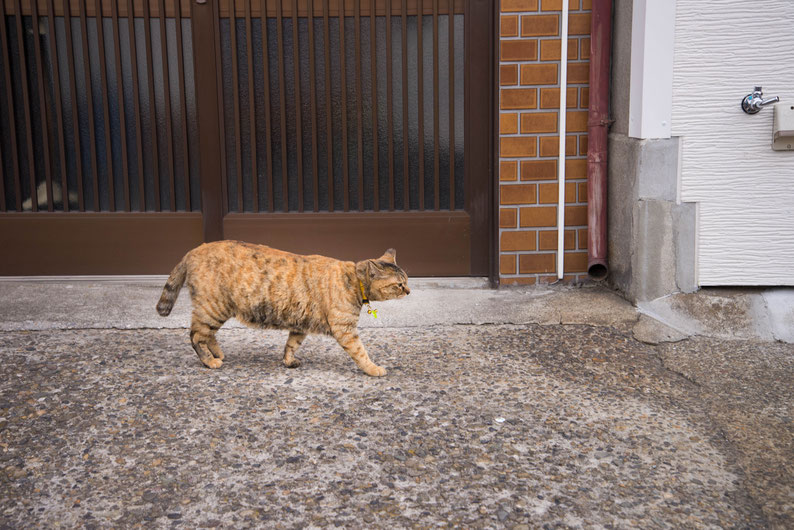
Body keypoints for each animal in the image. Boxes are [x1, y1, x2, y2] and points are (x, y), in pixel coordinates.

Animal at [159, 239, 412, 376]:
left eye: (407, 280)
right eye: (399, 285)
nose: (409, 291)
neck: (353, 280)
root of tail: (193, 250)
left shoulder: (301, 325)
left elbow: (291, 345)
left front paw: (289, 361)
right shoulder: (345, 330)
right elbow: (361, 353)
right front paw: (374, 369)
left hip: (216, 310)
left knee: (207, 334)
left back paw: (217, 353)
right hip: (213, 308)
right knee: (195, 336)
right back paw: (210, 361)